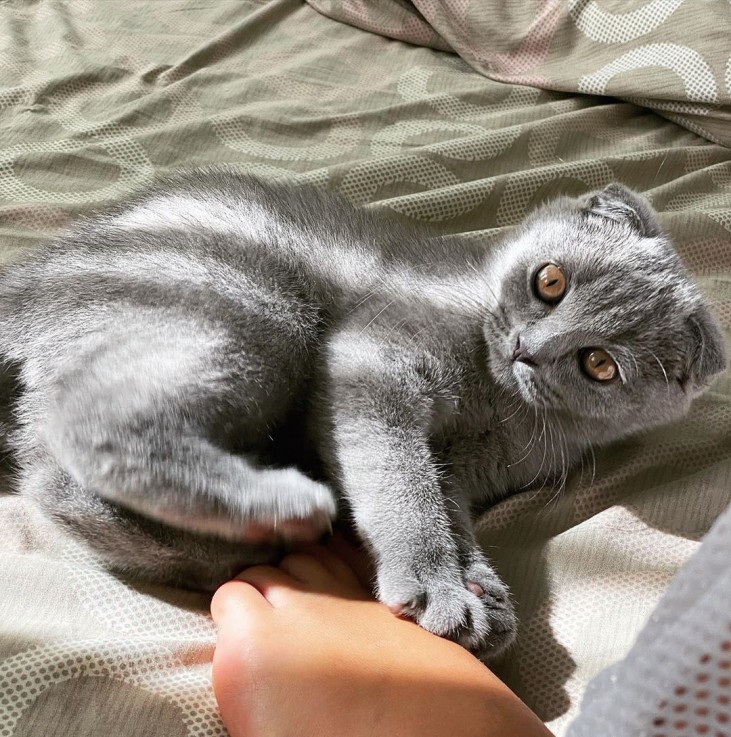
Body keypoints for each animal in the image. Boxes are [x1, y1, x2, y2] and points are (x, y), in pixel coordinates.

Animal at [0, 170, 724, 660]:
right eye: (550, 281)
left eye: (598, 364)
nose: (528, 348)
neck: (496, 399)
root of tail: (30, 277)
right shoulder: (370, 364)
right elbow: (400, 487)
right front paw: (434, 584)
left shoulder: (462, 470)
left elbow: (447, 511)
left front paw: (480, 595)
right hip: (254, 309)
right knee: (87, 435)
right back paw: (278, 510)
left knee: (50, 473)